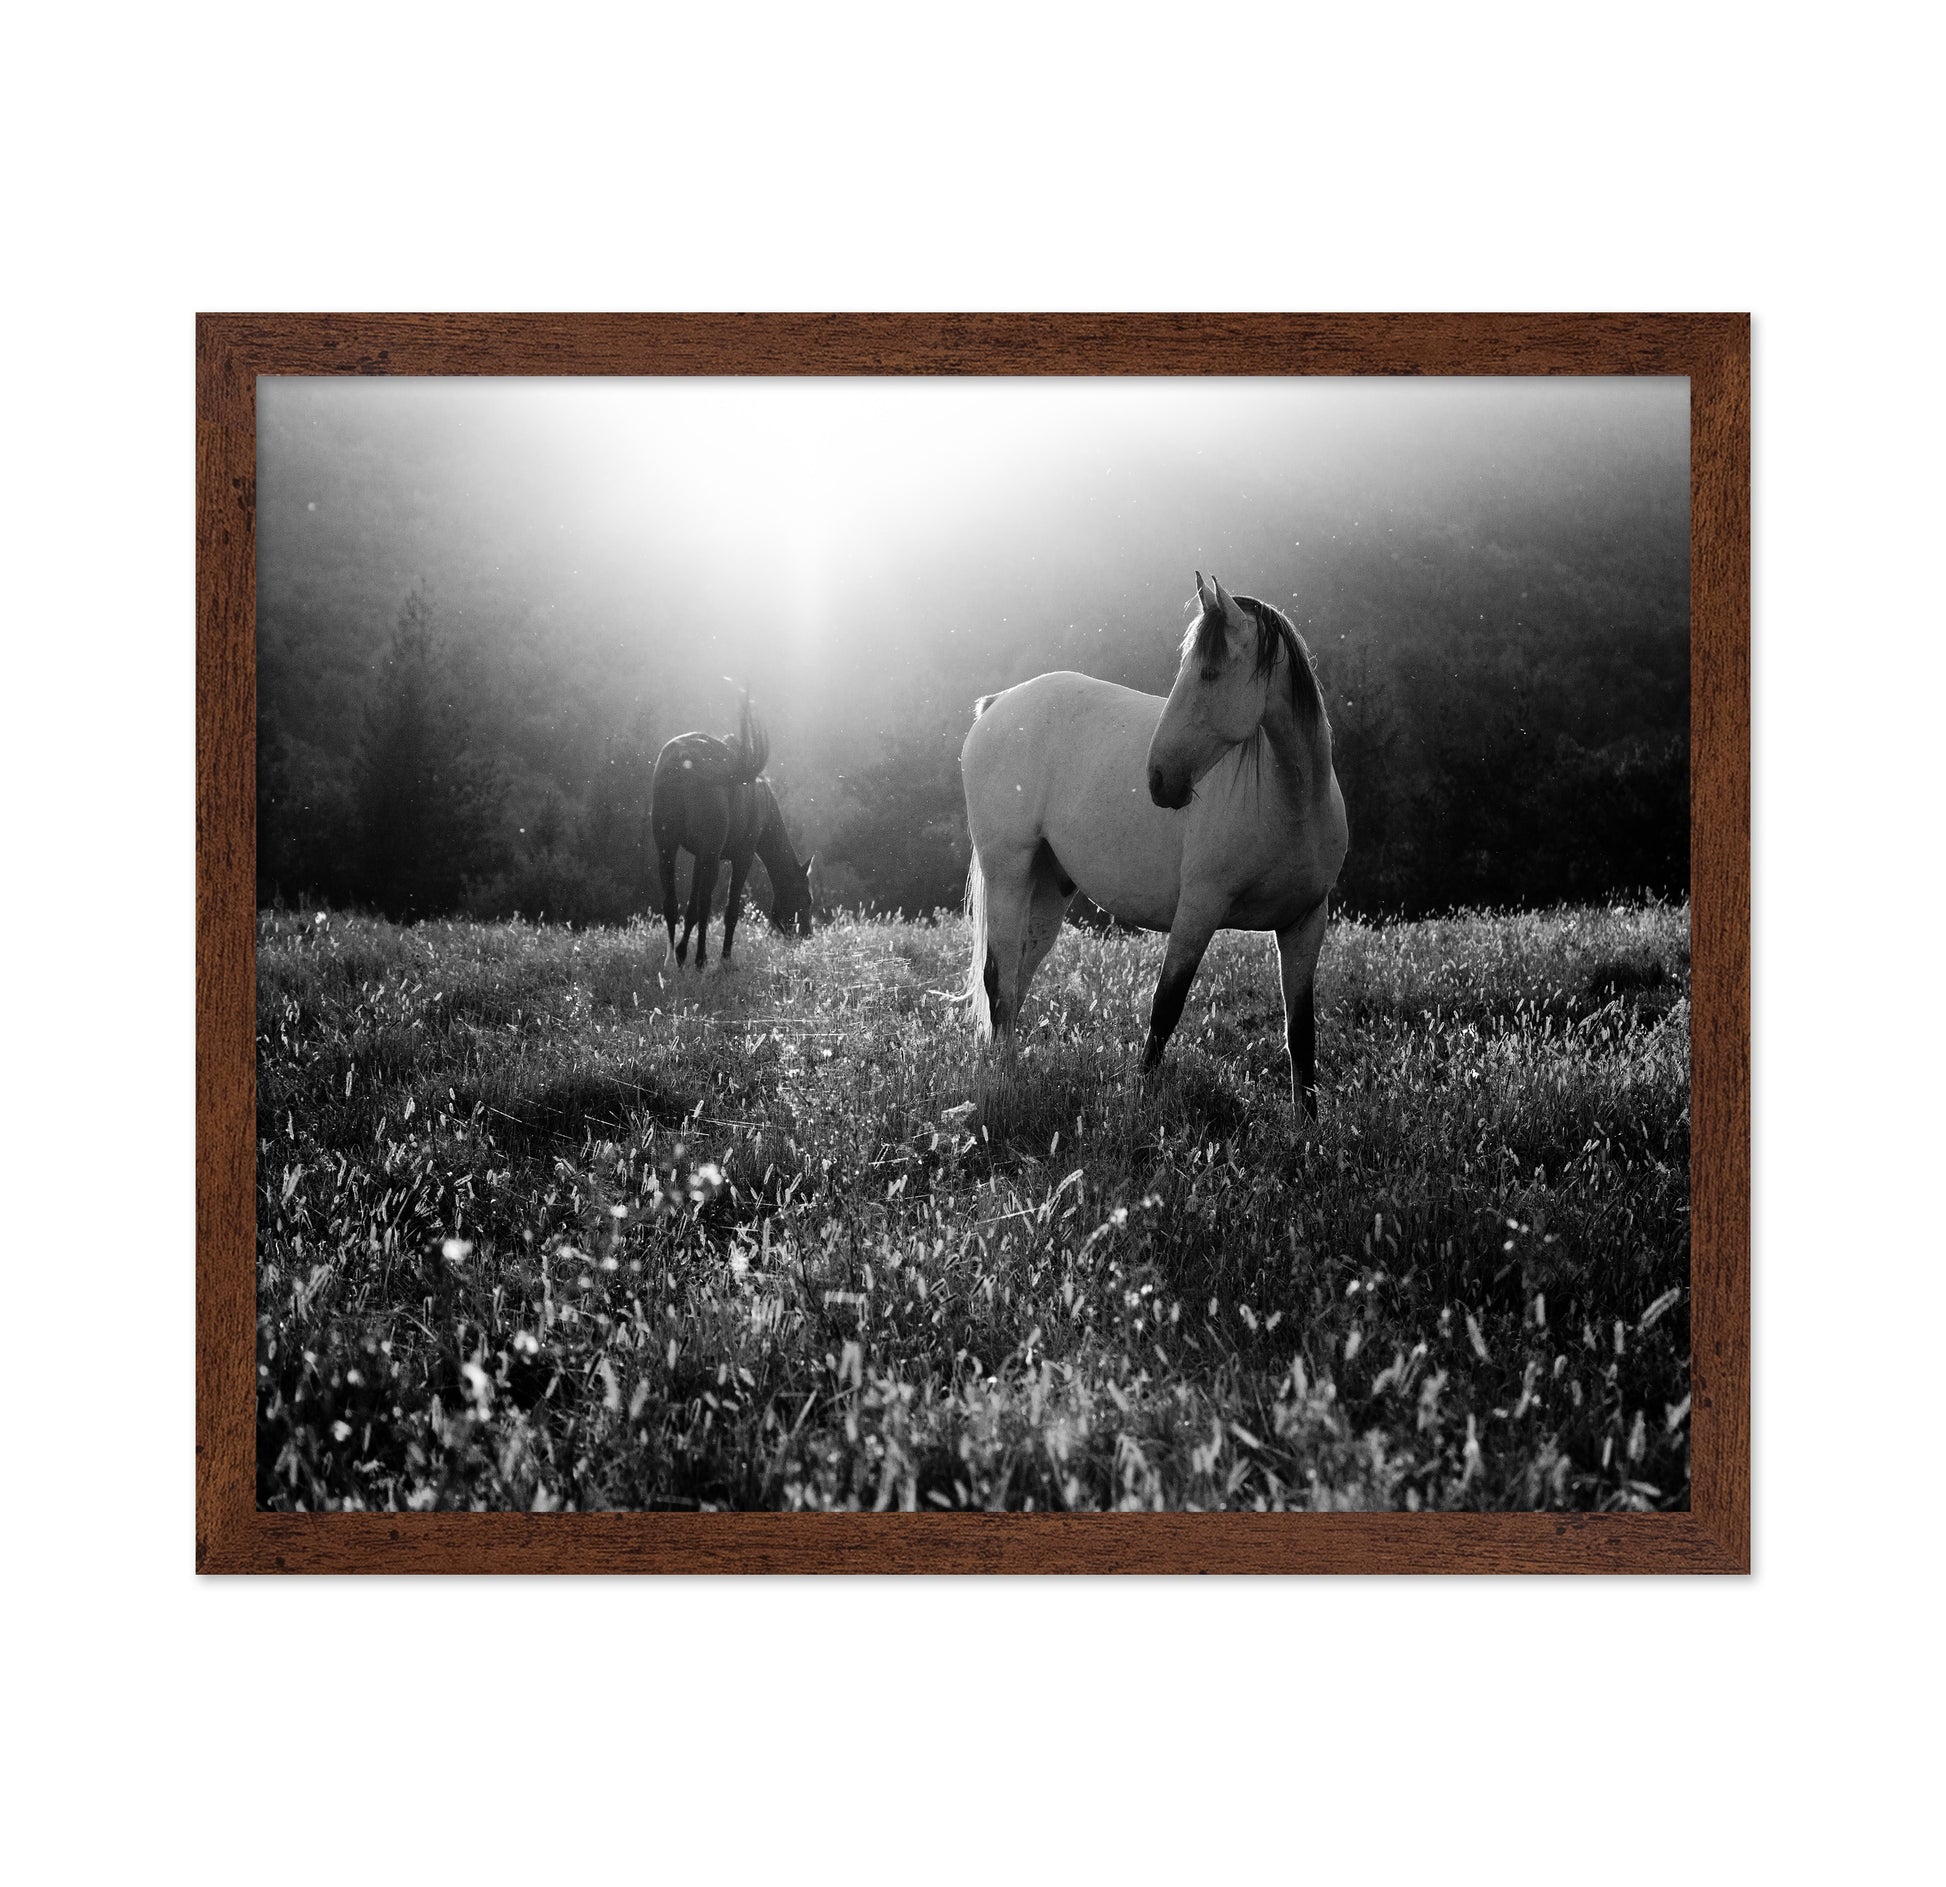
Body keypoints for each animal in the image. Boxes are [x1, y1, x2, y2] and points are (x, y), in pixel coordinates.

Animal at [650, 695, 815, 968]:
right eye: (806, 898)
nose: (807, 936)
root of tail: (683, 761)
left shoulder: (701, 856)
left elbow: (691, 908)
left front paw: (682, 954)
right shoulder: (741, 857)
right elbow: (730, 910)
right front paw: (725, 960)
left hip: (667, 846)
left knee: (671, 903)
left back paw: (670, 962)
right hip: (708, 852)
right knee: (706, 904)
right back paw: (701, 960)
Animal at [959, 573, 1347, 1116]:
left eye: (1208, 673)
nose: (1159, 780)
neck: (1291, 802)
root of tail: (998, 705)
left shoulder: (1305, 924)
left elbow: (1302, 1034)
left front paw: (1307, 1128)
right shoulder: (1198, 910)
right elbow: (1165, 1010)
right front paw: (1140, 1106)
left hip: (1048, 889)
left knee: (1015, 983)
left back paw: (1010, 1078)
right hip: (1008, 874)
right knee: (998, 981)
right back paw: (1001, 1087)